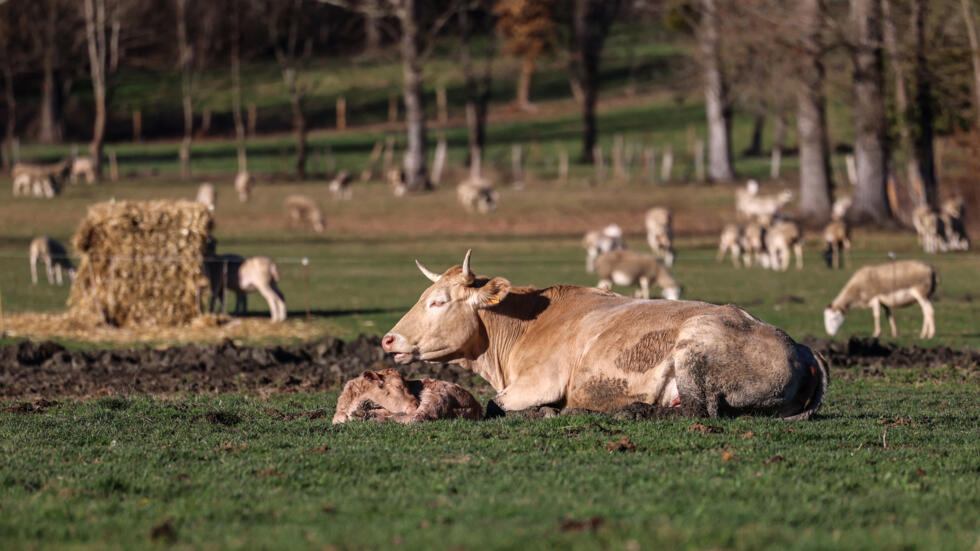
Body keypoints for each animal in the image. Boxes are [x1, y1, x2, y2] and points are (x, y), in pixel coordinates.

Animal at [330, 368, 482, 424]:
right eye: (398, 385)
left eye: (408, 386)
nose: (416, 403)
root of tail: (475, 405)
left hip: (436, 395)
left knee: (417, 417)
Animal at [380, 250, 828, 418]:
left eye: (438, 301)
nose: (388, 339)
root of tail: (803, 350)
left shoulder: (539, 382)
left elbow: (494, 405)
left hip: (694, 349)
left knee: (696, 410)